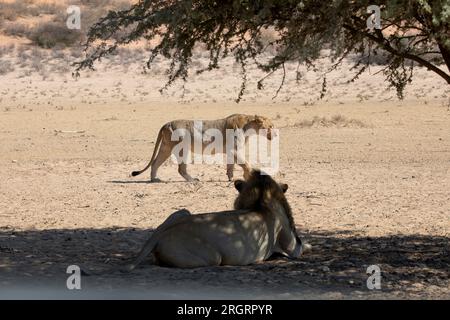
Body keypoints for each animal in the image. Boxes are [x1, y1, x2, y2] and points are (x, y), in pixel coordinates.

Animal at [130, 114, 276, 181]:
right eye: (271, 126)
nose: (275, 134)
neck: (249, 125)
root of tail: (166, 124)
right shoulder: (234, 150)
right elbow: (246, 164)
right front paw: (248, 176)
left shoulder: (230, 151)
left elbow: (231, 166)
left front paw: (231, 178)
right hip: (182, 148)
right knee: (180, 169)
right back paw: (192, 180)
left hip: (166, 148)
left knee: (155, 163)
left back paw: (154, 179)